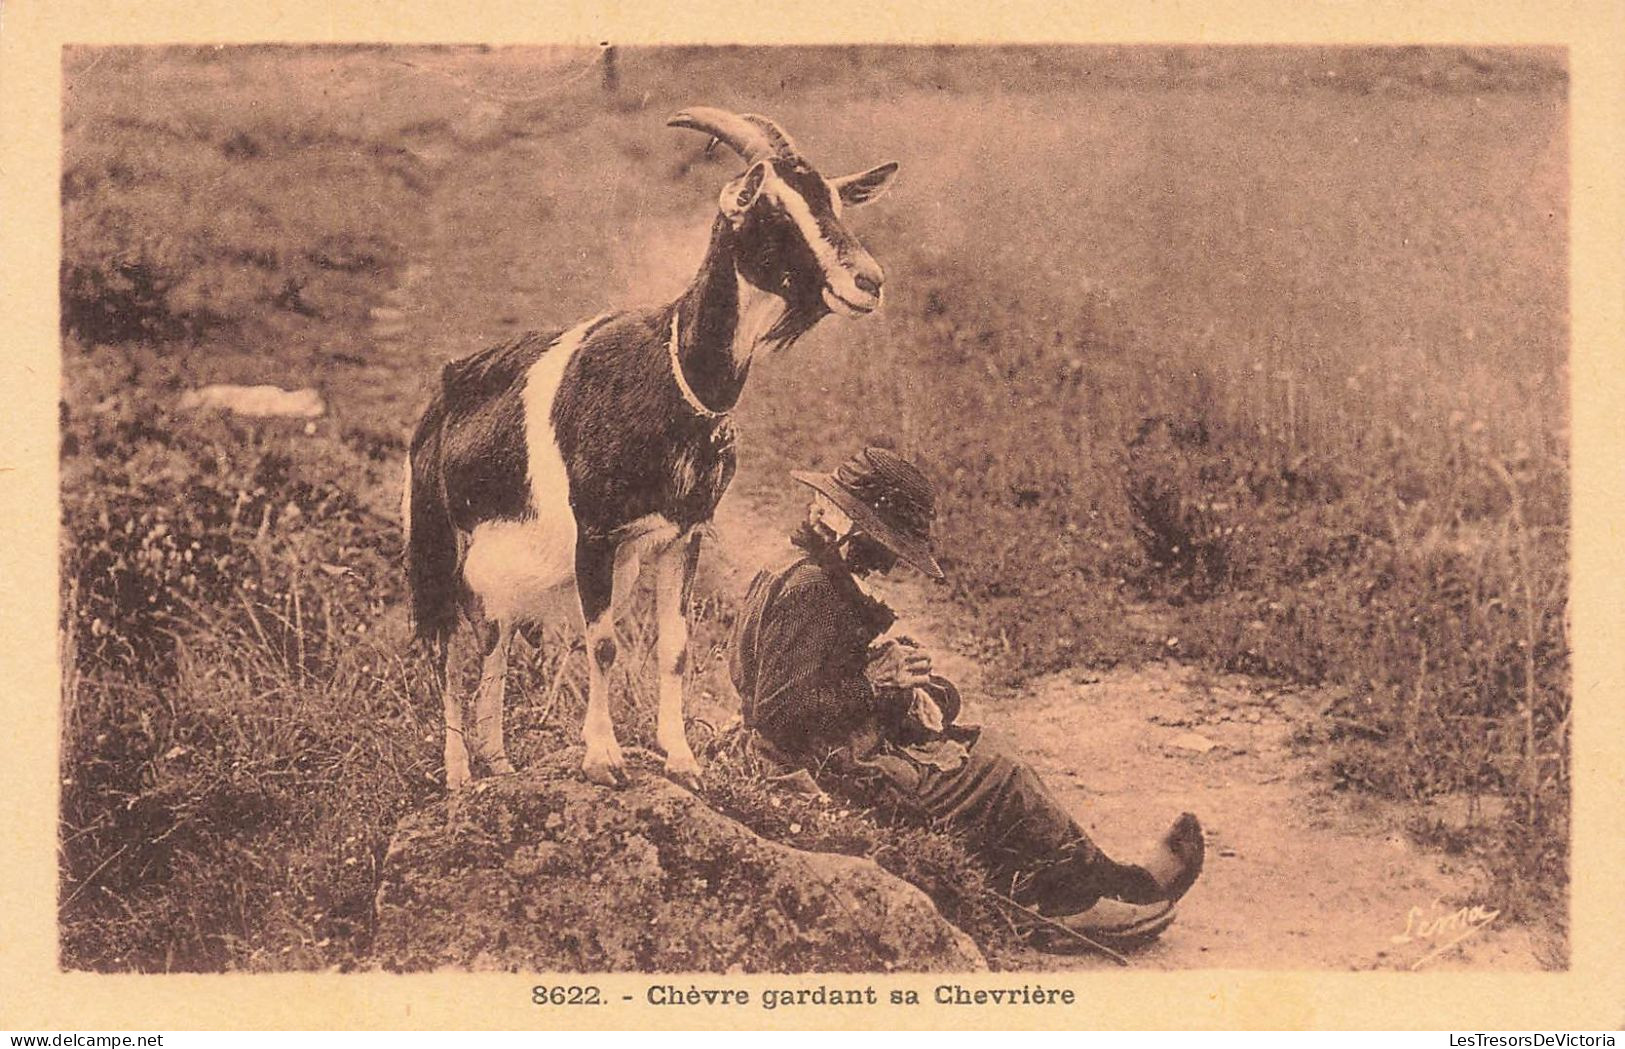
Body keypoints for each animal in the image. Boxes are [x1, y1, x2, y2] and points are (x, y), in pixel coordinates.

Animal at [398, 111, 897, 792]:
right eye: (771, 208)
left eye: (834, 201)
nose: (867, 282)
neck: (672, 377)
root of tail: (440, 398)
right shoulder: (596, 533)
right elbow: (604, 642)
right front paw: (604, 758)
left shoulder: (682, 534)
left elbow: (676, 646)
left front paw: (681, 757)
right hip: (438, 542)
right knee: (447, 644)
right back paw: (458, 775)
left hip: (504, 566)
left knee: (493, 638)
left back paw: (498, 760)